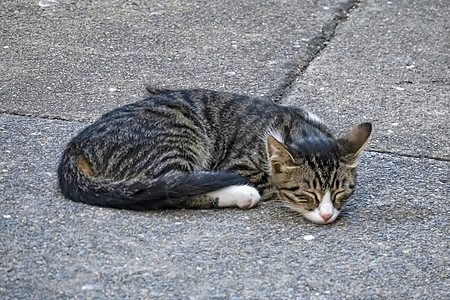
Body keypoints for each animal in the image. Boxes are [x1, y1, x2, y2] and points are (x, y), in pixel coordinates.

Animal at [57, 88, 372, 224]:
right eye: (307, 195)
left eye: (341, 193)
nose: (328, 214)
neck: (295, 126)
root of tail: (76, 145)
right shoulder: (238, 164)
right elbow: (268, 183)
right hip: (178, 136)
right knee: (169, 189)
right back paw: (241, 194)